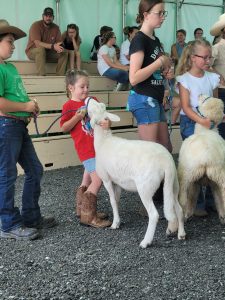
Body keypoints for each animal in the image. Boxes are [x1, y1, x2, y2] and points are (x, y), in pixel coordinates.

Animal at [85, 97, 185, 247]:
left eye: (95, 108)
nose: (89, 98)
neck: (104, 141)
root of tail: (166, 162)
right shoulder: (117, 182)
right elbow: (117, 200)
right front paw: (118, 221)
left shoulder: (106, 179)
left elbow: (112, 201)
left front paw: (114, 224)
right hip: (172, 185)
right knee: (179, 208)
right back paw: (181, 234)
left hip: (145, 187)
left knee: (154, 214)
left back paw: (146, 241)